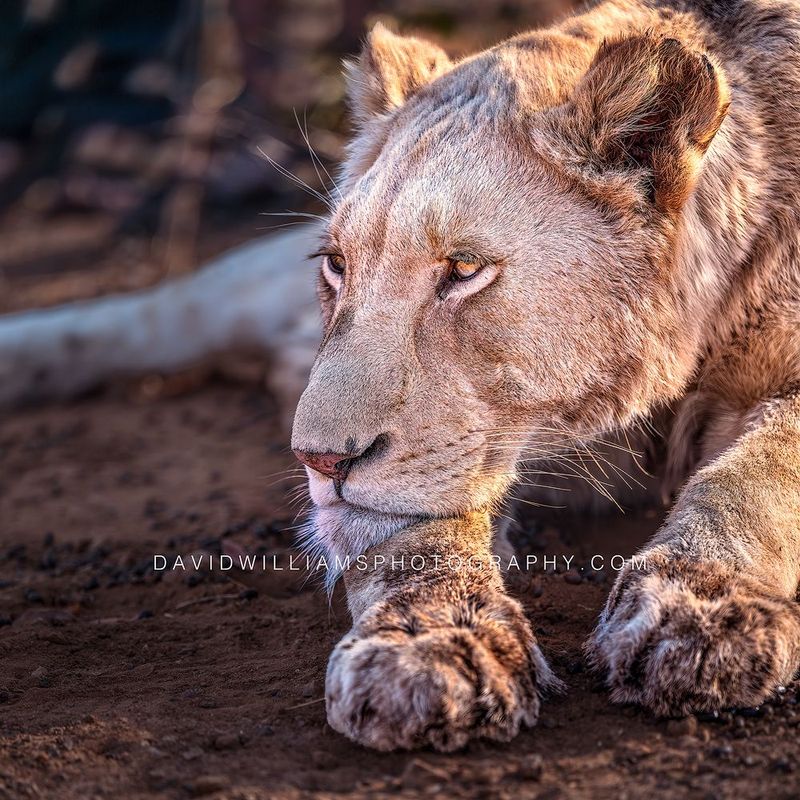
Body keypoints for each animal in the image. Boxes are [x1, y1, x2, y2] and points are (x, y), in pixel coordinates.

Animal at [290, 0, 800, 751]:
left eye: (464, 269)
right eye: (336, 264)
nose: (319, 460)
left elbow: (757, 471)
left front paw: (697, 604)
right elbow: (409, 535)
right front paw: (428, 645)